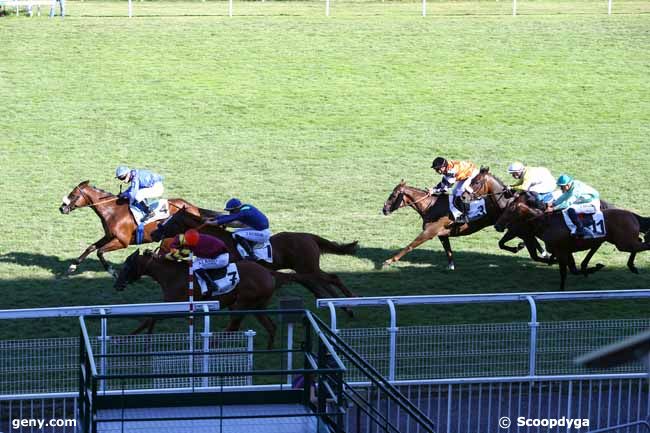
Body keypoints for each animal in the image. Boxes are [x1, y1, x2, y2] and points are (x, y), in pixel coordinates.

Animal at [58, 180, 215, 276]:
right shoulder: (109, 236)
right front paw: (72, 267)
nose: (62, 208)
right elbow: (91, 247)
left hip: (170, 240)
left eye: (74, 195)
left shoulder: (122, 242)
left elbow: (100, 252)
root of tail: (193, 208)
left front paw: (112, 272)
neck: (112, 211)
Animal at [113, 248, 326, 350]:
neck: (171, 274)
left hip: (241, 304)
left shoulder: (176, 305)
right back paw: (268, 350)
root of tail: (269, 273)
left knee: (233, 327)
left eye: (127, 266)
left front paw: (127, 338)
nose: (117, 284)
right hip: (256, 305)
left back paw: (212, 343)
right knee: (270, 326)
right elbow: (151, 318)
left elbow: (151, 317)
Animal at [149, 206, 356, 300]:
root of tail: (309, 237)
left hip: (308, 266)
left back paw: (351, 301)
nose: (154, 233)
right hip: (305, 268)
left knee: (332, 278)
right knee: (321, 284)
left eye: (172, 220)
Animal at [492, 192, 648, 290]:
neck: (547, 222)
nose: (497, 225)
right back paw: (630, 265)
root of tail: (631, 214)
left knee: (643, 244)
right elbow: (572, 269)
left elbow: (564, 272)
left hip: (623, 243)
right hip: (619, 241)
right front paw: (593, 268)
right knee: (639, 241)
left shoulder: (561, 251)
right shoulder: (566, 251)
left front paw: (561, 289)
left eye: (509, 211)